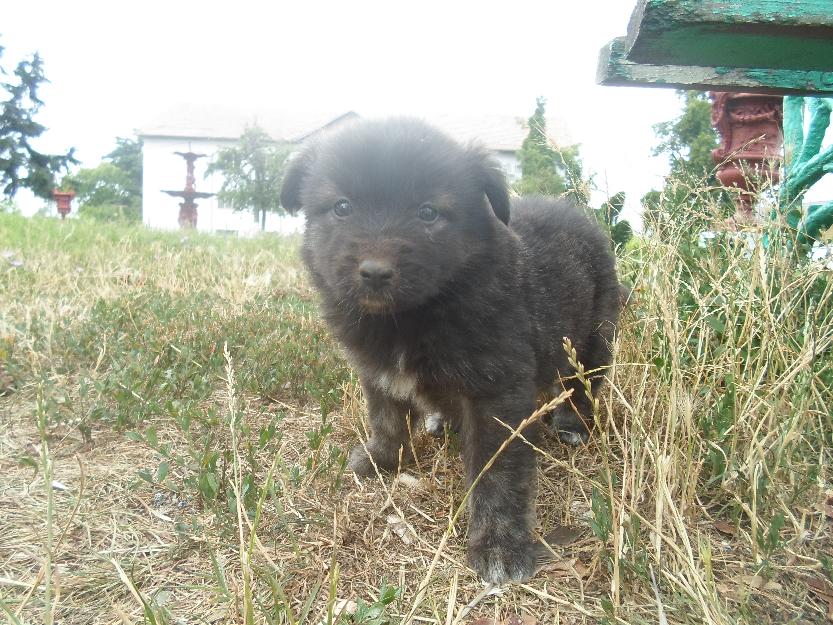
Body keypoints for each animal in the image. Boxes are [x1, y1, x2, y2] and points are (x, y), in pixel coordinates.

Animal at [280, 118, 616, 584]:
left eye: (428, 213)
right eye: (342, 207)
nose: (375, 272)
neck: (414, 315)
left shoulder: (497, 395)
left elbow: (498, 476)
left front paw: (499, 544)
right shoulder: (377, 373)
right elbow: (386, 419)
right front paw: (381, 460)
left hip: (592, 341)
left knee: (581, 386)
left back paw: (572, 424)